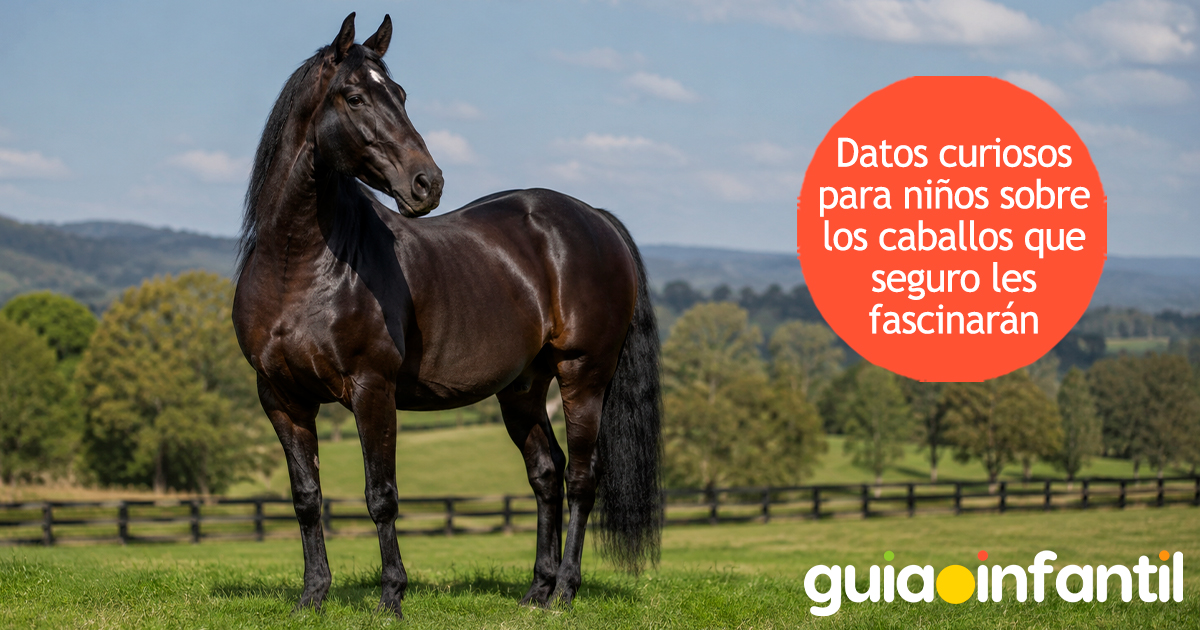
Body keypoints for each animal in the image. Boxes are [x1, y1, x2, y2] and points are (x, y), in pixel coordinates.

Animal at [231, 13, 662, 617]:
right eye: (355, 96)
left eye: (401, 95)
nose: (427, 183)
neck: (300, 268)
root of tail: (594, 218)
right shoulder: (281, 398)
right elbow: (306, 497)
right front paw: (312, 597)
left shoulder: (372, 389)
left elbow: (381, 497)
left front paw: (391, 598)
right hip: (523, 387)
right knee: (546, 473)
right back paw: (537, 589)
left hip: (583, 374)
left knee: (580, 477)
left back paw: (565, 591)